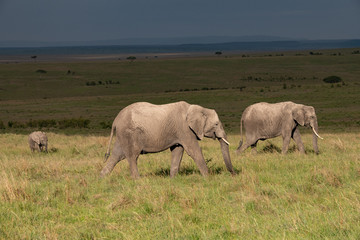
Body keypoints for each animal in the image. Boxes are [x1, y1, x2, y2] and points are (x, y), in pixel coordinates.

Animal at [100, 101, 236, 178]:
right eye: (216, 124)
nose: (233, 174)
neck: (198, 108)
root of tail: (115, 120)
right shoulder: (184, 129)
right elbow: (194, 151)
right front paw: (208, 178)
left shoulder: (179, 133)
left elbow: (178, 151)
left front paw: (173, 179)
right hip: (129, 133)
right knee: (132, 156)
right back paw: (137, 180)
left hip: (122, 135)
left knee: (116, 156)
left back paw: (101, 179)